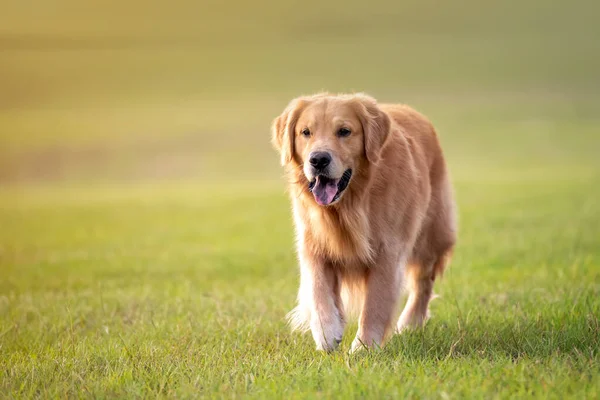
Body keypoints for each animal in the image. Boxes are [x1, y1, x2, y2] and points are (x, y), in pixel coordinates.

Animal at [272, 92, 454, 352]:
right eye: (306, 132)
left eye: (344, 131)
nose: (318, 160)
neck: (350, 205)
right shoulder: (313, 242)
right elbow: (318, 290)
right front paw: (328, 332)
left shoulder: (388, 251)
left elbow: (375, 305)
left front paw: (364, 347)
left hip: (431, 235)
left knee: (423, 281)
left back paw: (410, 323)